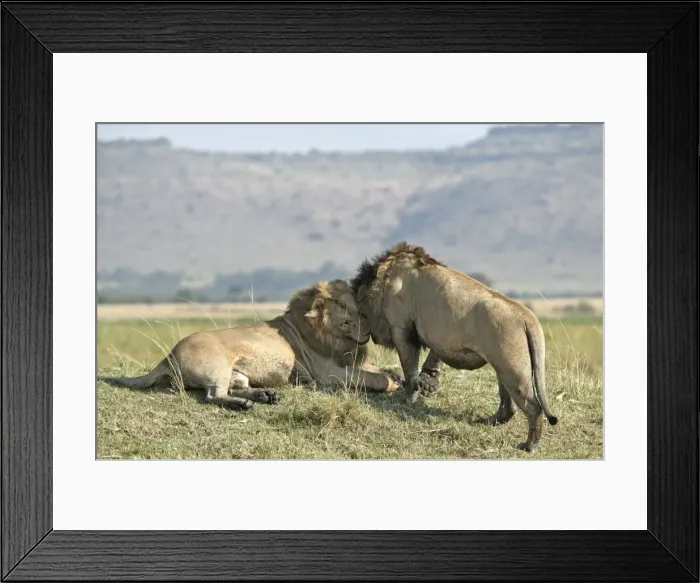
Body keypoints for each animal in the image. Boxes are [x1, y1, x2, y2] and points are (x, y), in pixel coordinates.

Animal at [98, 279, 402, 410]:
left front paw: (396, 375)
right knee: (213, 395)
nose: (367, 320)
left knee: (235, 388)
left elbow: (380, 369)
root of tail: (168, 355)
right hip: (217, 366)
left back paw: (265, 395)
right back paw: (245, 404)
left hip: (237, 373)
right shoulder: (329, 374)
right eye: (344, 306)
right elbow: (374, 378)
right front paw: (392, 384)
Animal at [349, 242, 558, 452]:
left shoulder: (402, 328)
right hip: (503, 368)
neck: (385, 277)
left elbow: (409, 368)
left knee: (534, 408)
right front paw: (427, 383)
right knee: (508, 407)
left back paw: (529, 446)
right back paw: (488, 421)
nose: (366, 334)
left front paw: (408, 399)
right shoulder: (436, 336)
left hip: (513, 371)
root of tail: (528, 317)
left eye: (362, 314)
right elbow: (433, 356)